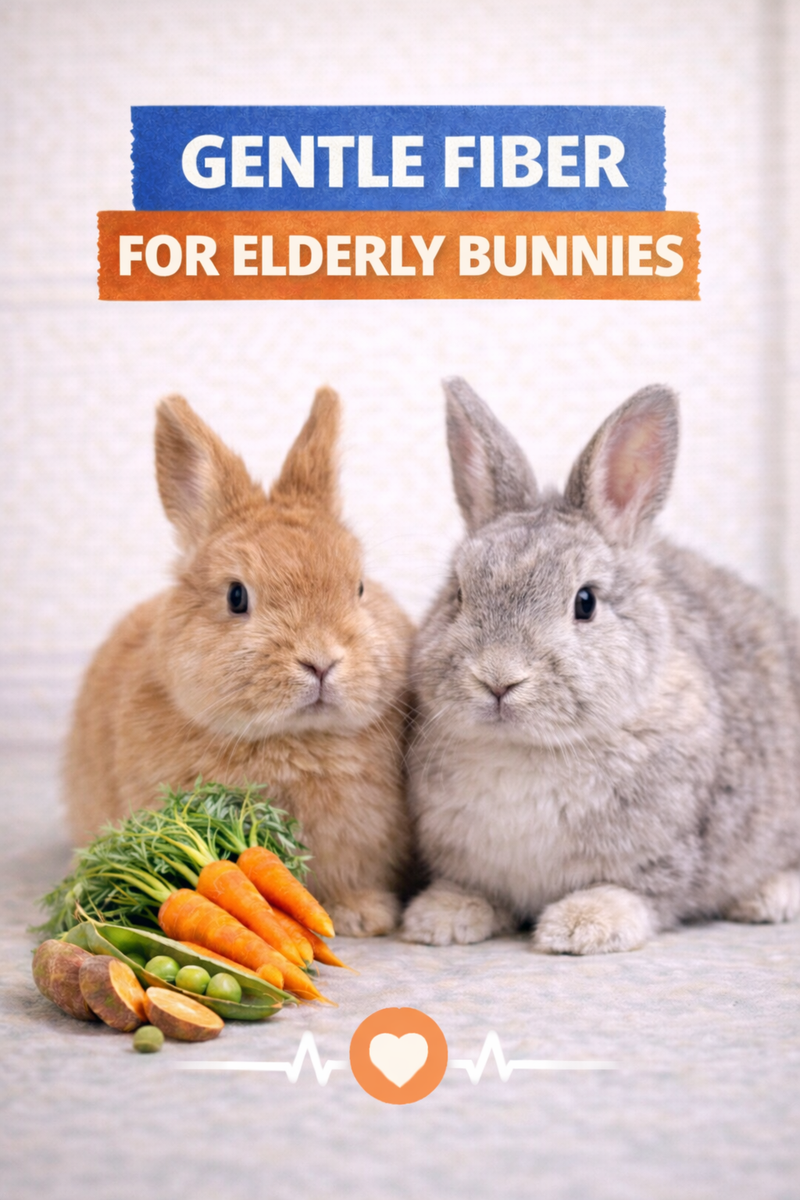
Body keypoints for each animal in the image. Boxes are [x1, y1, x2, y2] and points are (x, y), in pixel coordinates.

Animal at [401, 377, 800, 954]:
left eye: (585, 602)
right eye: (457, 593)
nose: (498, 679)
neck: (528, 749)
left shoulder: (665, 855)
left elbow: (636, 893)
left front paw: (582, 926)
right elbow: (472, 888)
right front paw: (441, 919)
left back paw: (769, 898)